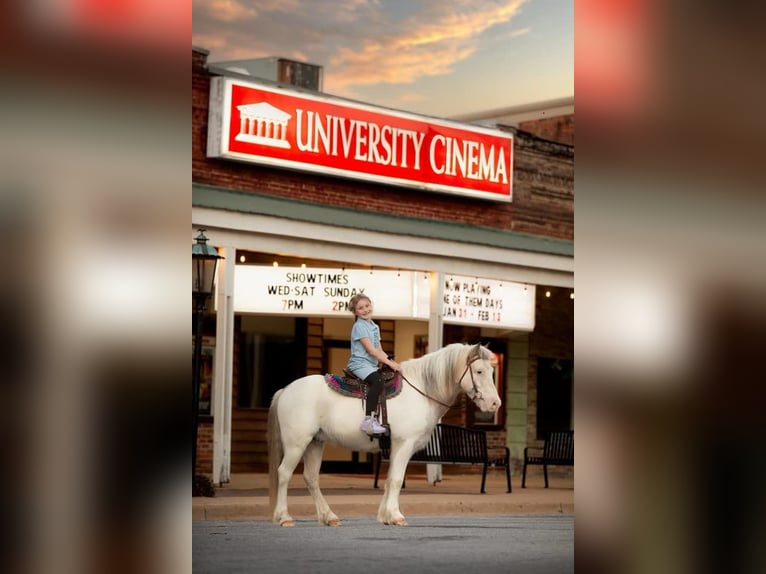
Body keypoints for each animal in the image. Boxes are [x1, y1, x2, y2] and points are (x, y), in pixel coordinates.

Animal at [270, 344, 504, 528]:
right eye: (479, 371)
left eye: (492, 370)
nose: (495, 403)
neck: (421, 391)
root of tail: (286, 389)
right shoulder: (404, 445)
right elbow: (397, 480)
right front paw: (396, 516)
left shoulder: (396, 448)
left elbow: (390, 479)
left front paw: (386, 516)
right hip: (297, 444)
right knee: (284, 474)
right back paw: (284, 517)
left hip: (315, 443)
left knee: (311, 478)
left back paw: (329, 517)